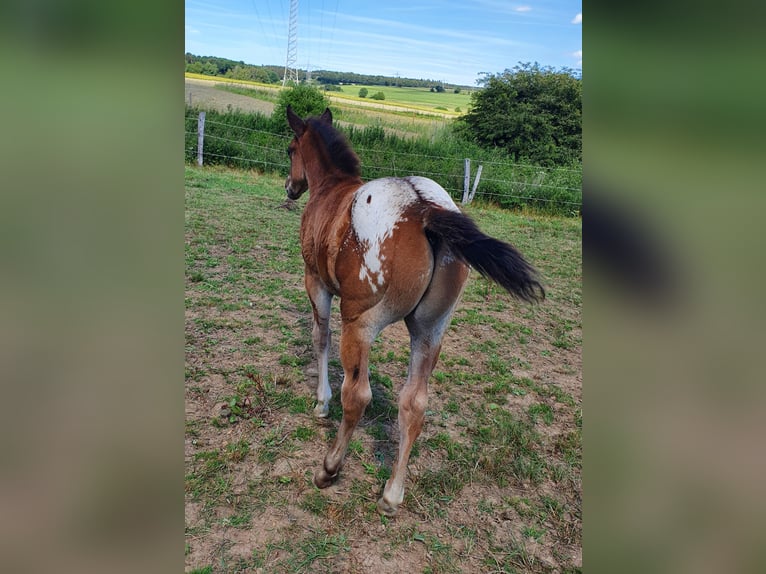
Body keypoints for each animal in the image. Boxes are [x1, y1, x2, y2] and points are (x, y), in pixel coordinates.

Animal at [284, 105, 545, 516]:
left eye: (290, 149)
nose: (290, 188)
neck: (331, 188)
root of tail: (424, 209)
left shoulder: (316, 283)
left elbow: (319, 337)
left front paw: (321, 403)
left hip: (361, 323)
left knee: (357, 395)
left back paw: (328, 469)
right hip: (430, 330)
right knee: (415, 403)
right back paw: (392, 494)